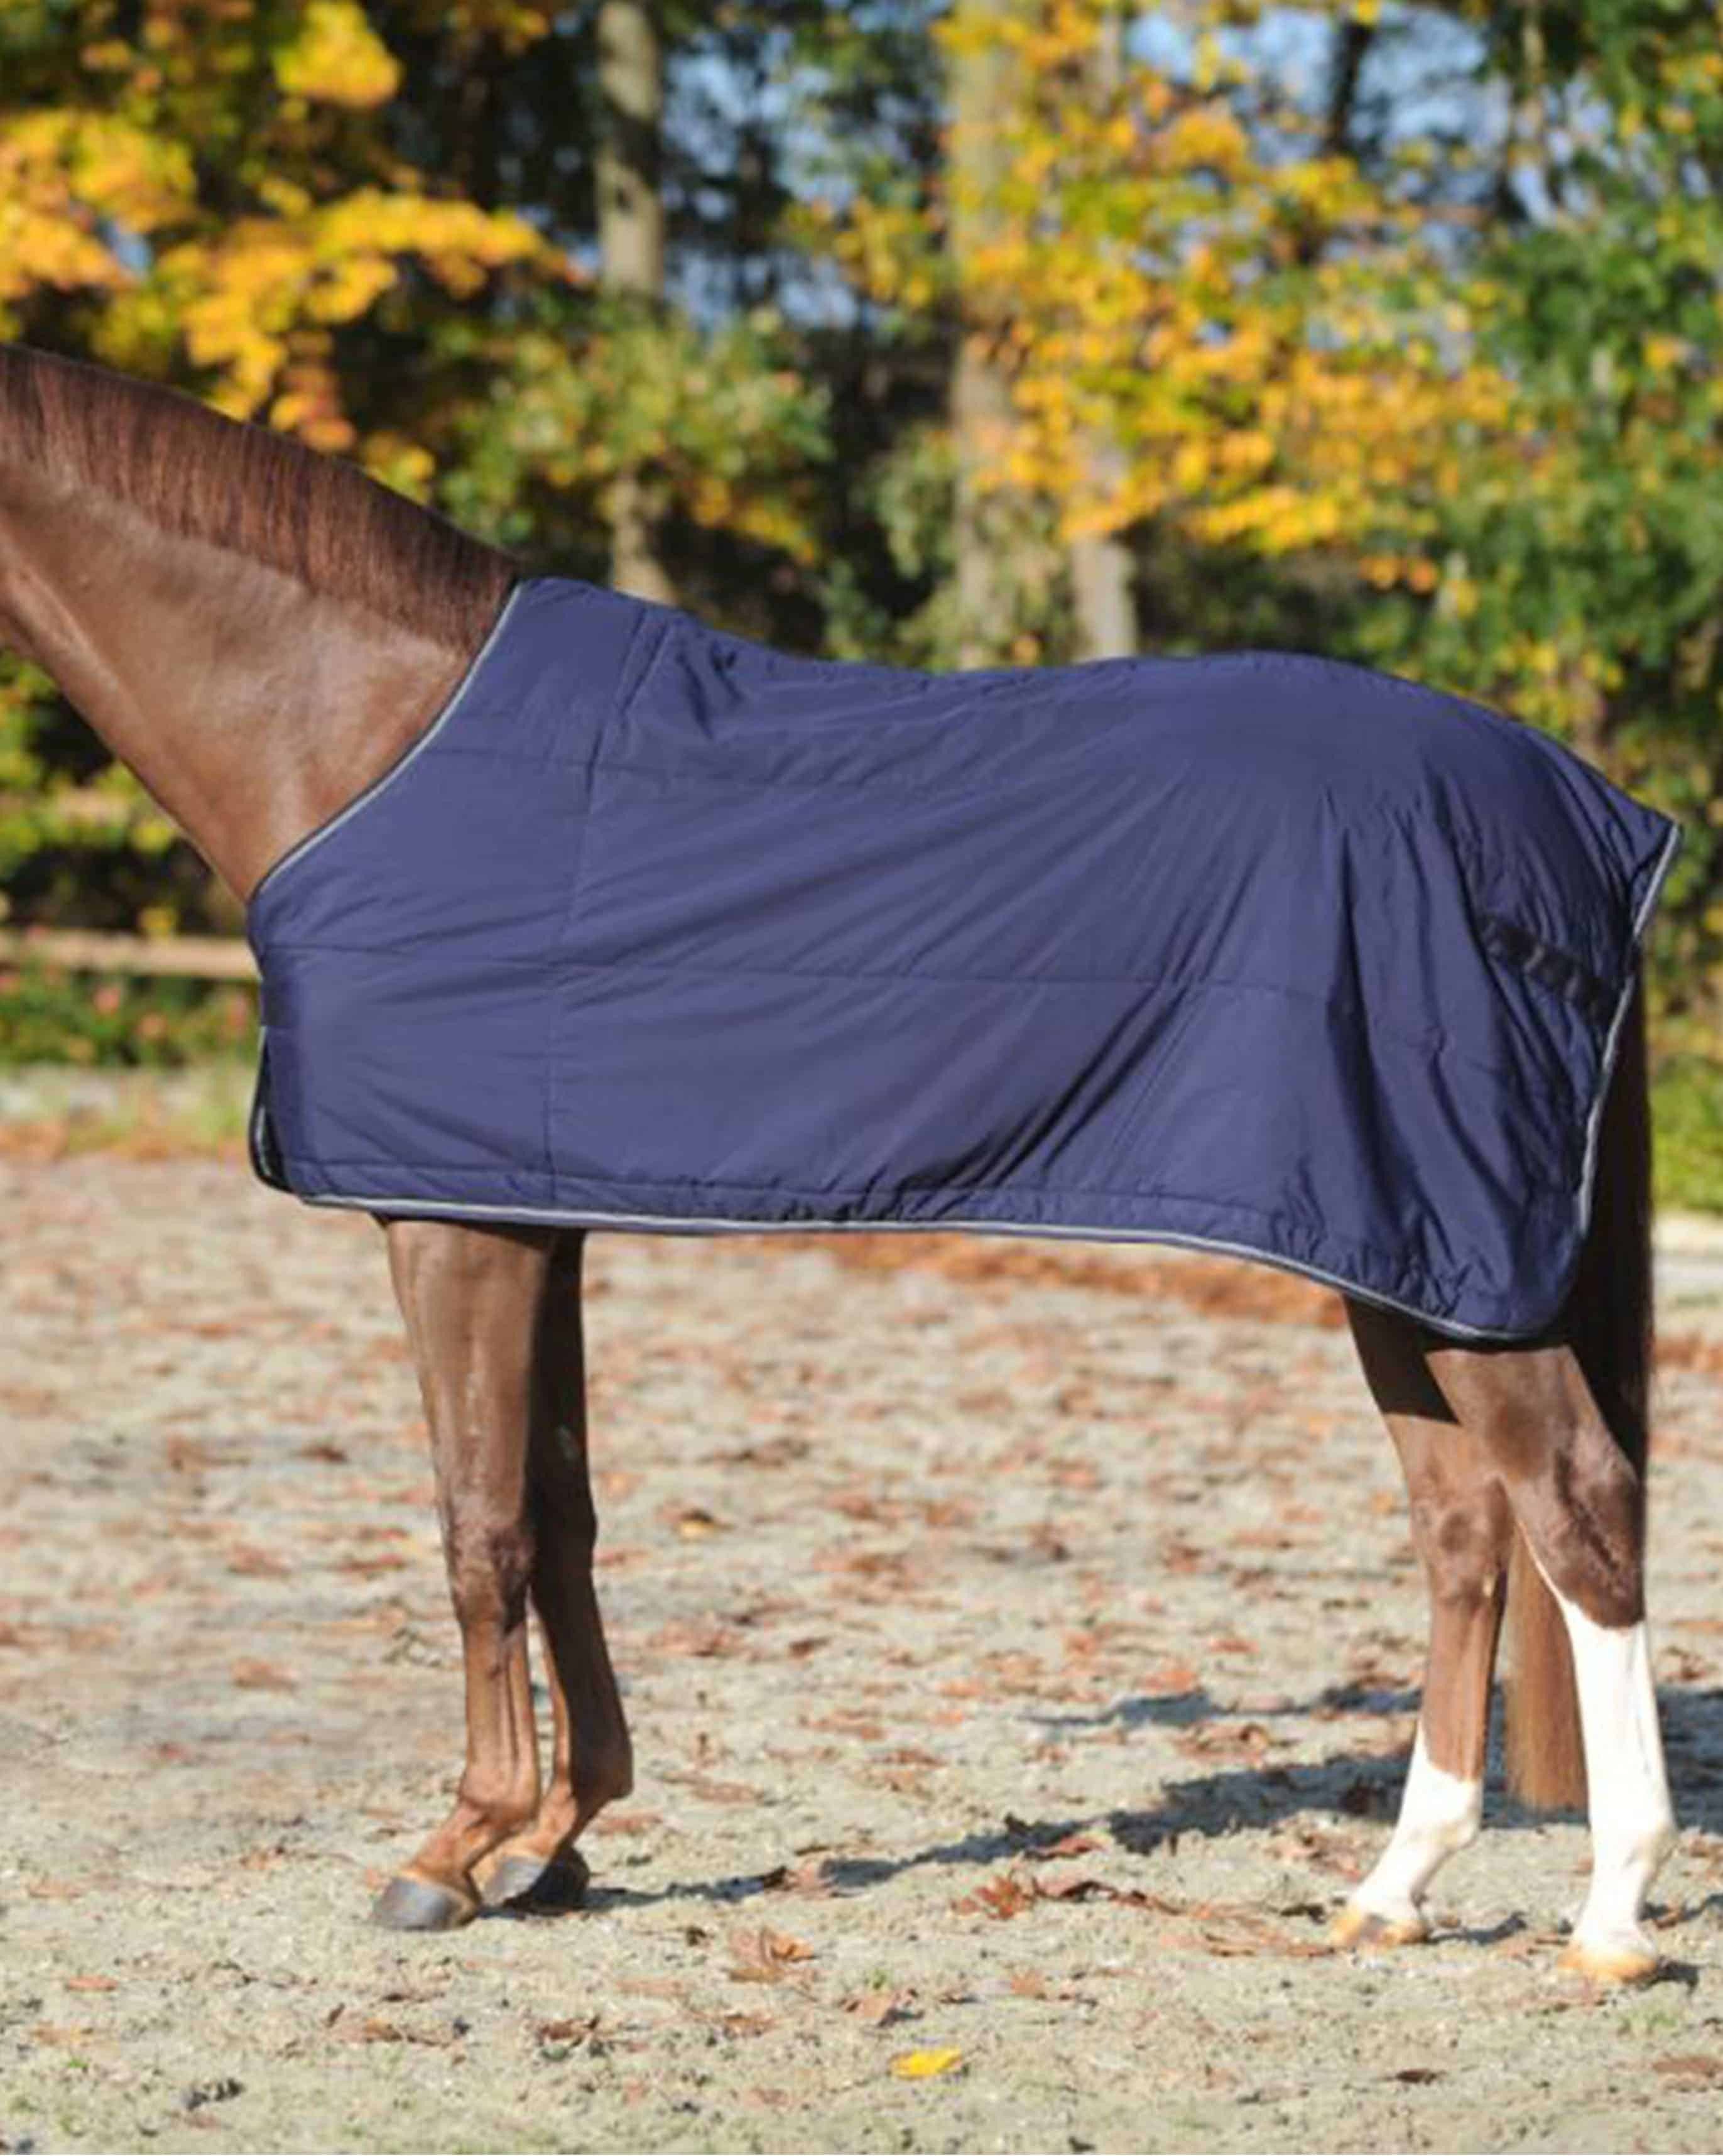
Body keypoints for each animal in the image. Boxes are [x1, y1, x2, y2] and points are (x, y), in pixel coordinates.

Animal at [0, 342, 1678, 1980]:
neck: (363, 732)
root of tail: (1579, 810)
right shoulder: (536, 1213)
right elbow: (563, 1516)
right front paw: (560, 1839)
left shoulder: (447, 1224)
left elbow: (480, 1531)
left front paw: (453, 1850)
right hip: (1395, 1252)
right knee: (1464, 1528)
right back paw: (1394, 1887)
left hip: (1444, 1254)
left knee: (1574, 1501)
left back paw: (1608, 1915)